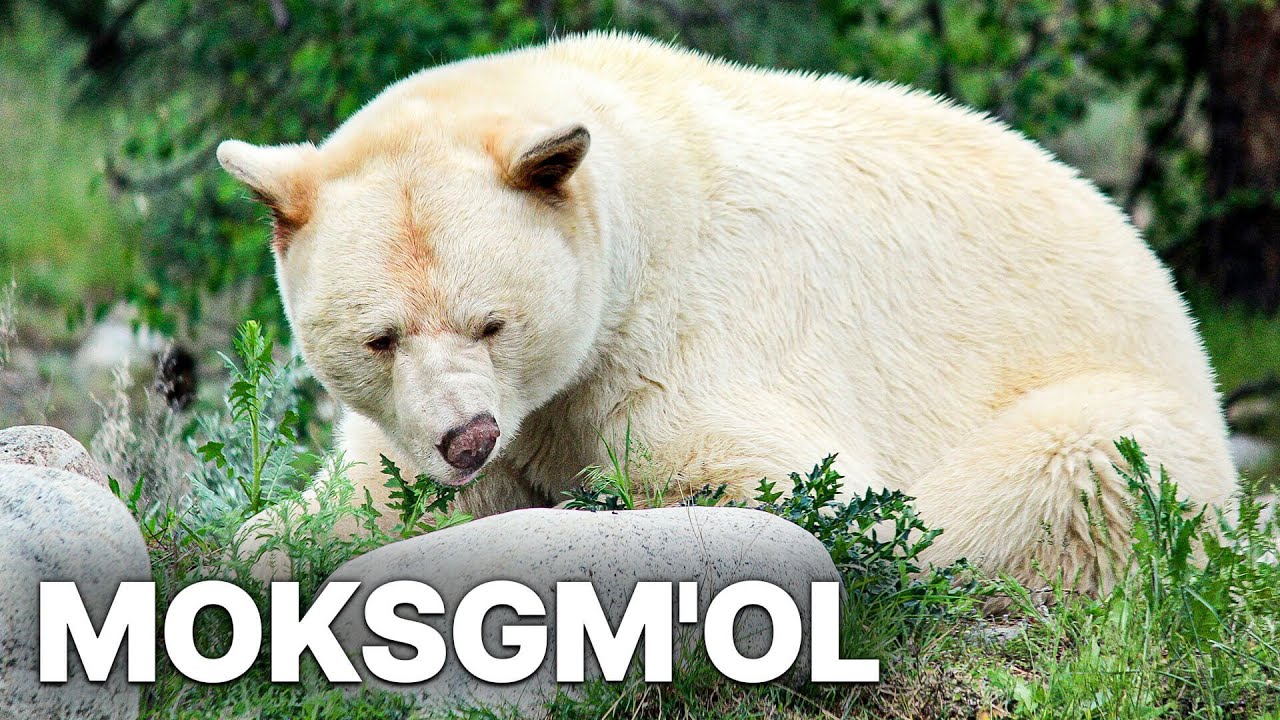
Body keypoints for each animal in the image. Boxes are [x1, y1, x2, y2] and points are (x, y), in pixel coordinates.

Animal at [217, 32, 1237, 592]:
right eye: (380, 337)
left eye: (492, 321)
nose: (467, 439)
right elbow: (362, 489)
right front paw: (283, 537)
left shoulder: (703, 328)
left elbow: (782, 489)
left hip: (1125, 417)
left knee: (1077, 461)